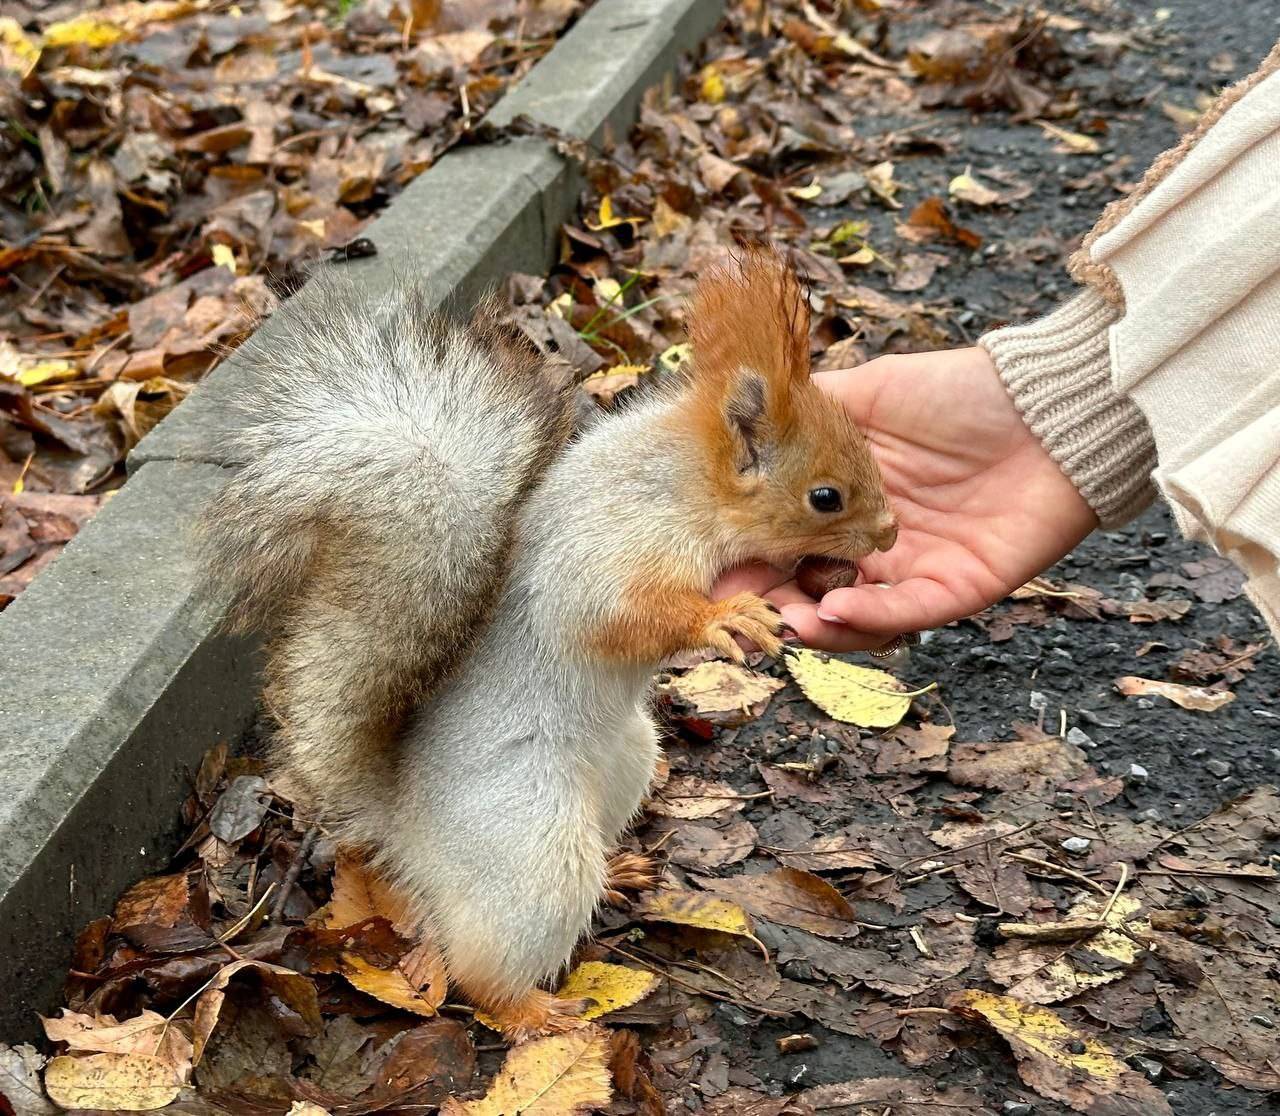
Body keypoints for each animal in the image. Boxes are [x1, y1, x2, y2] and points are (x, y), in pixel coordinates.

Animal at [202, 248, 901, 1044]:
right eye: (825, 497)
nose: (890, 533)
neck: (684, 479)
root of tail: (406, 827)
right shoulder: (611, 545)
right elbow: (615, 616)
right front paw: (723, 618)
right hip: (534, 853)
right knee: (481, 973)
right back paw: (537, 1013)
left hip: (629, 762)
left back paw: (619, 872)